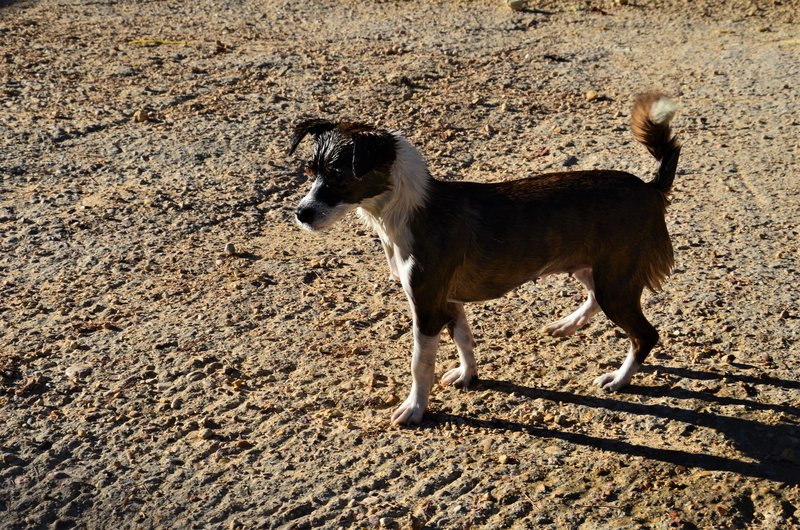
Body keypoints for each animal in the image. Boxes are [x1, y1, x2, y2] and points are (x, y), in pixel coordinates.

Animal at [290, 93, 680, 424]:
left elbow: (420, 365)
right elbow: (464, 340)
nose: (301, 214)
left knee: (645, 335)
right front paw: (468, 375)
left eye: (338, 177)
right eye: (310, 172)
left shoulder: (427, 308)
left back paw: (619, 378)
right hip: (595, 268)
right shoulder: (449, 300)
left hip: (616, 278)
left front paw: (415, 408)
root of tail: (650, 187)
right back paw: (567, 325)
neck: (407, 211)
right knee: (596, 299)